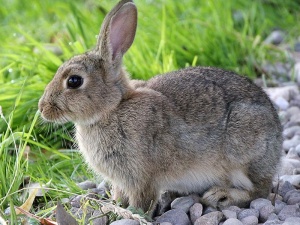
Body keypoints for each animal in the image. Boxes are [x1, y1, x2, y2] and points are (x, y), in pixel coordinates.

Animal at [38, 0, 282, 215]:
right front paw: (113, 206)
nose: (42, 108)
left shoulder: (141, 177)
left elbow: (142, 200)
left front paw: (130, 214)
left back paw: (221, 196)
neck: (113, 108)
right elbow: (119, 194)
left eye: (74, 81)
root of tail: (278, 138)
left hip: (244, 152)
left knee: (259, 191)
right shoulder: (121, 180)